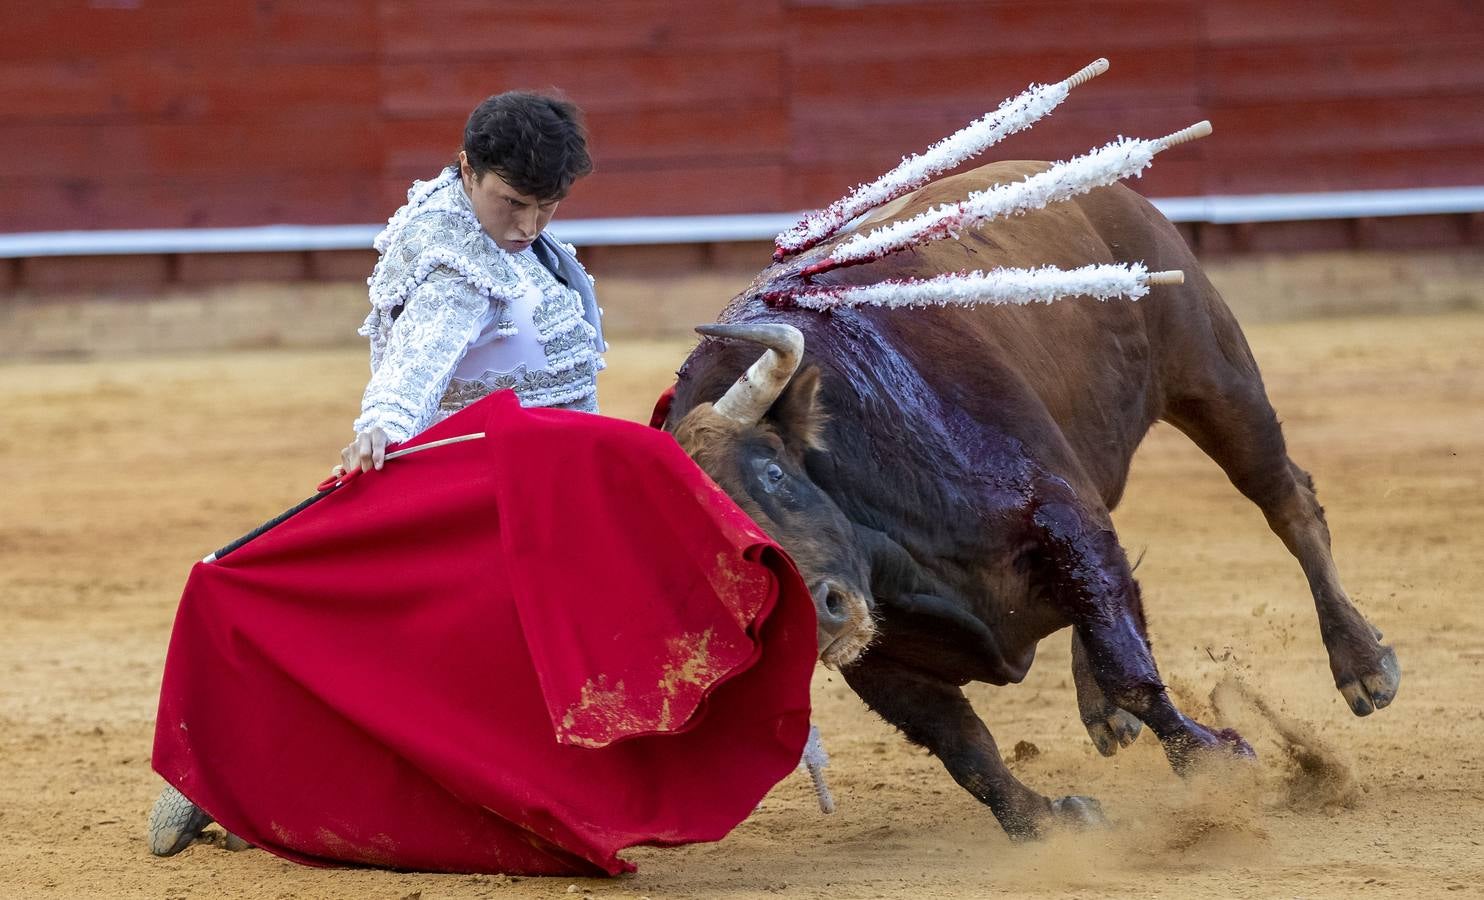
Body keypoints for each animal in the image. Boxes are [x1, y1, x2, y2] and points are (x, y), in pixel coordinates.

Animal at [664, 160, 1400, 837]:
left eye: (773, 474)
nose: (818, 617)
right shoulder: (880, 658)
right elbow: (964, 747)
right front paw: (1051, 819)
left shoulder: (1058, 513)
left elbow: (1125, 660)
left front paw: (1218, 758)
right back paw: (1105, 711)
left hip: (1214, 377)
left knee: (1286, 503)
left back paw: (1362, 666)